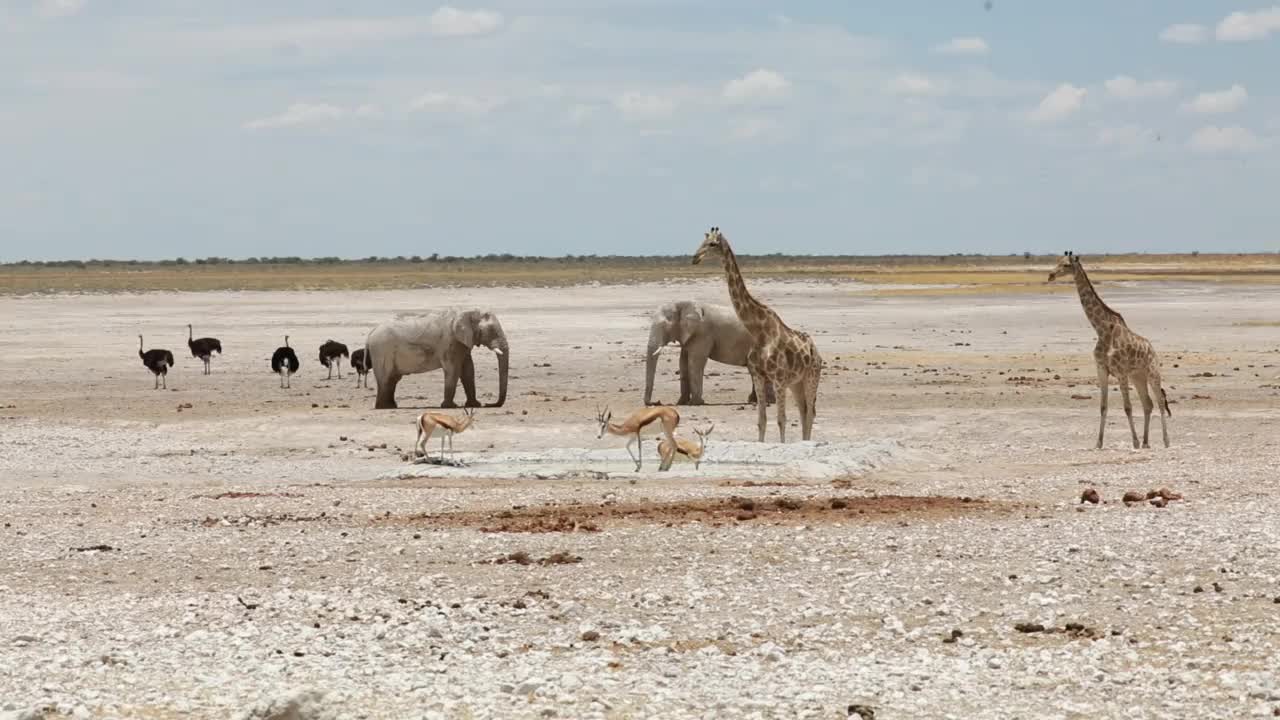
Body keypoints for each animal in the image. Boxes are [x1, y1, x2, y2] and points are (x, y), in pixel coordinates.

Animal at [363, 308, 506, 409]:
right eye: (492, 331)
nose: (489, 404)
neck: (468, 312)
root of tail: (370, 334)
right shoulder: (450, 342)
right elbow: (453, 370)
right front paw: (449, 407)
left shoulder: (462, 343)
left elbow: (468, 371)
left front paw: (474, 405)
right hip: (381, 351)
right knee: (386, 379)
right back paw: (384, 407)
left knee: (393, 379)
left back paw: (391, 406)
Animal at [645, 298, 773, 404]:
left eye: (664, 325)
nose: (656, 402)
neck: (681, 303)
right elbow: (683, 362)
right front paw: (681, 402)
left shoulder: (702, 333)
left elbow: (695, 362)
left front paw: (696, 403)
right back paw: (755, 401)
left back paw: (767, 401)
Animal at [691, 224, 819, 440]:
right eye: (702, 241)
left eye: (713, 244)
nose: (695, 258)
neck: (759, 331)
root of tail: (816, 351)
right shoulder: (759, 376)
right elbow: (762, 421)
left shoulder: (778, 379)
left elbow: (781, 420)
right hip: (796, 383)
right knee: (803, 412)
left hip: (812, 377)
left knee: (810, 412)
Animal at [1049, 249, 1172, 445]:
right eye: (1057, 261)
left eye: (1066, 265)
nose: (1050, 275)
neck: (1102, 329)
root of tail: (1152, 349)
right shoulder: (1102, 370)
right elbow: (1103, 406)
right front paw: (1099, 443)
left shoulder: (1120, 372)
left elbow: (1127, 407)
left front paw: (1134, 443)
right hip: (1138, 376)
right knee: (1148, 404)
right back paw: (1146, 442)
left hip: (1153, 372)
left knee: (1160, 402)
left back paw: (1165, 441)